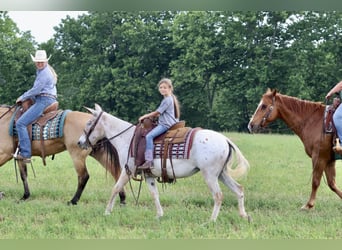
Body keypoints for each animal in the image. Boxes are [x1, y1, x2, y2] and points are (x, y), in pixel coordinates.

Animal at [76, 103, 250, 221]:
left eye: (89, 123)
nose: (79, 142)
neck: (128, 138)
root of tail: (225, 139)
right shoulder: (148, 175)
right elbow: (154, 194)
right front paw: (159, 215)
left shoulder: (128, 170)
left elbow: (115, 188)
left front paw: (107, 212)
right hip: (221, 174)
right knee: (239, 189)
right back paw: (244, 215)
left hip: (210, 175)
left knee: (218, 196)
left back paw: (211, 221)